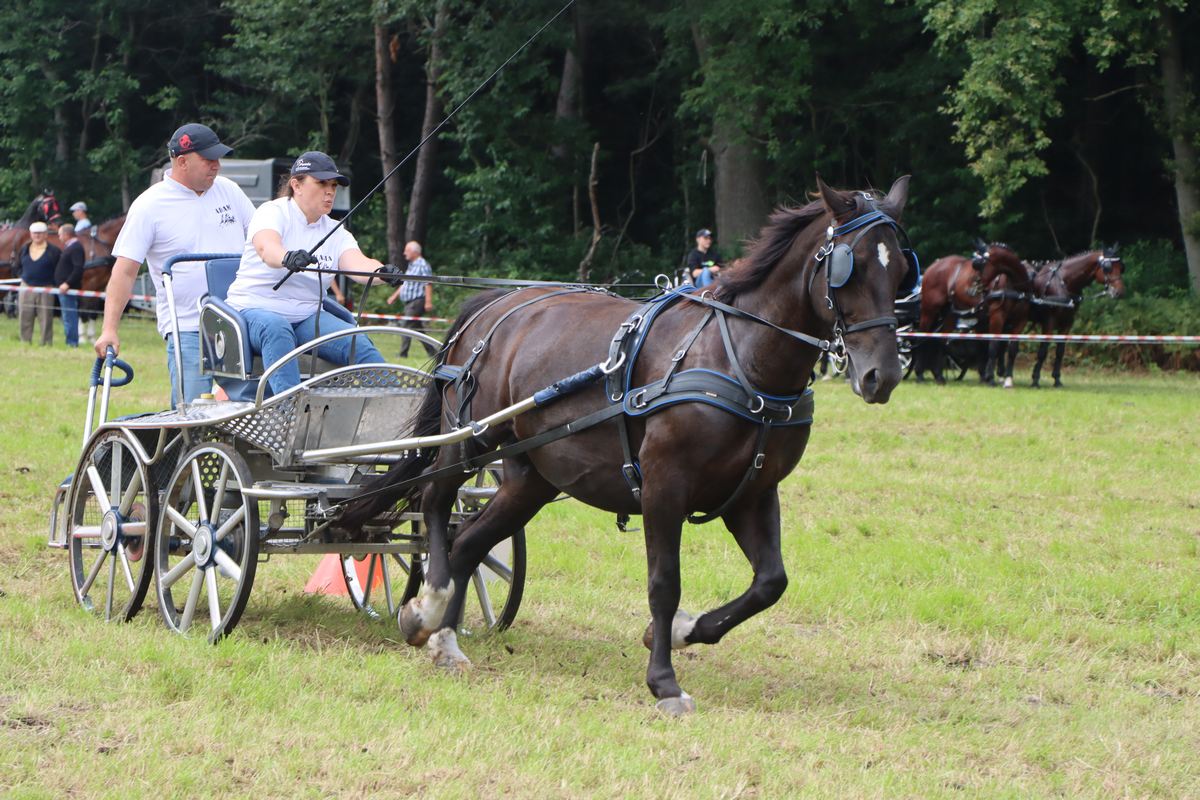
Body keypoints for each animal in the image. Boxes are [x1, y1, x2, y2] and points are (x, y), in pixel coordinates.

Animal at [343, 175, 912, 714]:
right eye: (851, 266)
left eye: (902, 270)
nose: (881, 376)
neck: (741, 359)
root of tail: (497, 304)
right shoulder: (664, 486)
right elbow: (665, 583)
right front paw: (664, 683)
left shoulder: (752, 493)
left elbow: (770, 582)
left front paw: (684, 632)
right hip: (469, 440)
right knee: (436, 504)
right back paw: (430, 603)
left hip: (531, 477)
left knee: (470, 542)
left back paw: (444, 638)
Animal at [1022, 248, 1123, 388]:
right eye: (1108, 267)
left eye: (1121, 267)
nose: (1119, 292)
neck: (1063, 284)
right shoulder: (1049, 322)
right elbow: (1043, 351)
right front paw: (1035, 379)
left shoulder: (1068, 323)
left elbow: (1060, 351)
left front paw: (1057, 379)